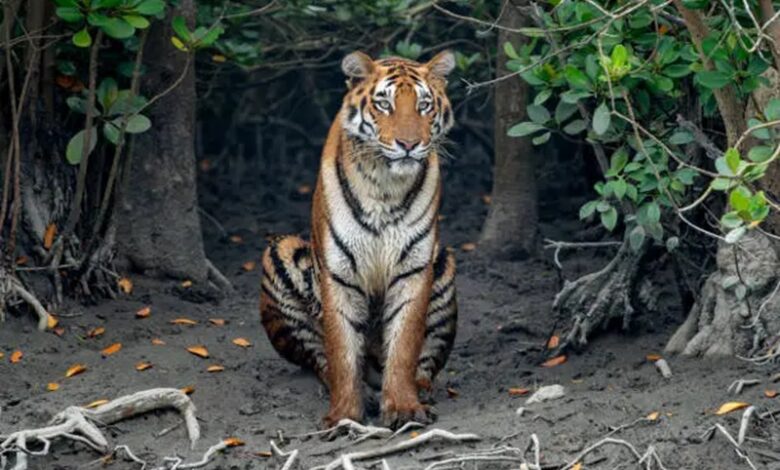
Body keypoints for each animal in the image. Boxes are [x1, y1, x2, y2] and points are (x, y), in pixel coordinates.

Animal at [260, 50, 458, 428]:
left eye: (424, 105)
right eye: (384, 104)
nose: (409, 145)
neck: (385, 186)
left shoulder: (415, 267)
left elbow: (405, 344)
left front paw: (404, 408)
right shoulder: (338, 271)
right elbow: (342, 350)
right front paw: (344, 417)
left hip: (444, 260)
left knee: (425, 362)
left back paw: (422, 391)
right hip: (281, 252)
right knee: (318, 357)